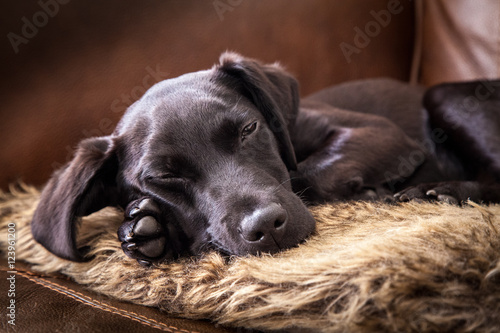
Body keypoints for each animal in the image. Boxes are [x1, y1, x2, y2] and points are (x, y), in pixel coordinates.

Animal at [31, 52, 500, 264]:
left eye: (248, 130)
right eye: (163, 176)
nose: (266, 228)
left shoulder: (381, 133)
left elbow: (308, 175)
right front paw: (151, 227)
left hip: (443, 95)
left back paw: (441, 191)